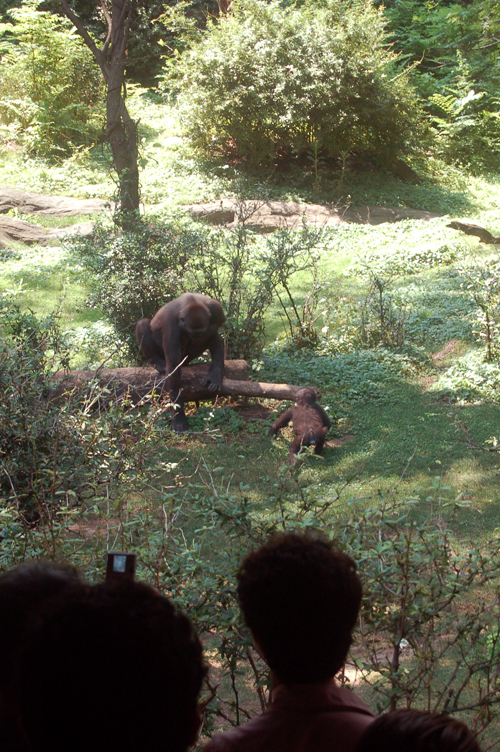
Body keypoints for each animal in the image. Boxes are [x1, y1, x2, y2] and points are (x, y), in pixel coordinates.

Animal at [135, 294, 225, 434]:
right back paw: (155, 361)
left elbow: (216, 326)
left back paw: (215, 371)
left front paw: (216, 372)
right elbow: (173, 367)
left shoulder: (216, 309)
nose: (197, 338)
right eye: (192, 333)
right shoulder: (171, 324)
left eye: (199, 333)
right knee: (142, 324)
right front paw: (179, 417)